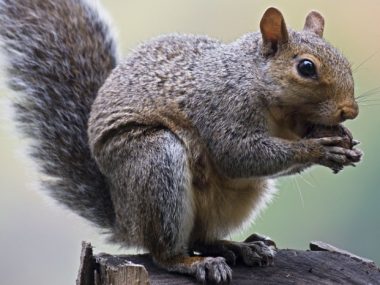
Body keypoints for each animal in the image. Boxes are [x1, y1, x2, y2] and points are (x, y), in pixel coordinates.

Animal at [0, 0, 362, 282]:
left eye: (345, 60)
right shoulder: (221, 110)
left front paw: (341, 141)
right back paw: (193, 263)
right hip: (156, 161)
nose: (351, 110)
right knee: (165, 252)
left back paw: (240, 247)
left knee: (203, 237)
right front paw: (318, 149)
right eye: (306, 67)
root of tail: (125, 220)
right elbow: (237, 155)